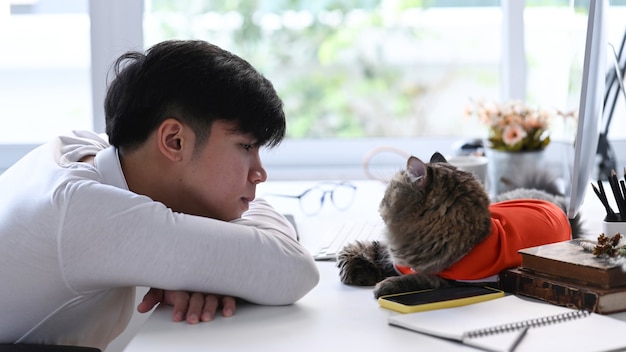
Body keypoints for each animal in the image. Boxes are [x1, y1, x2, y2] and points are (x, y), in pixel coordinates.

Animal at [336, 153, 580, 298]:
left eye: (388, 193)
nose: (379, 205)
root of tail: (555, 204)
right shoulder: (391, 253)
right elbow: (354, 251)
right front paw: (358, 271)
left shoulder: (452, 282)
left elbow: (417, 278)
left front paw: (383, 285)